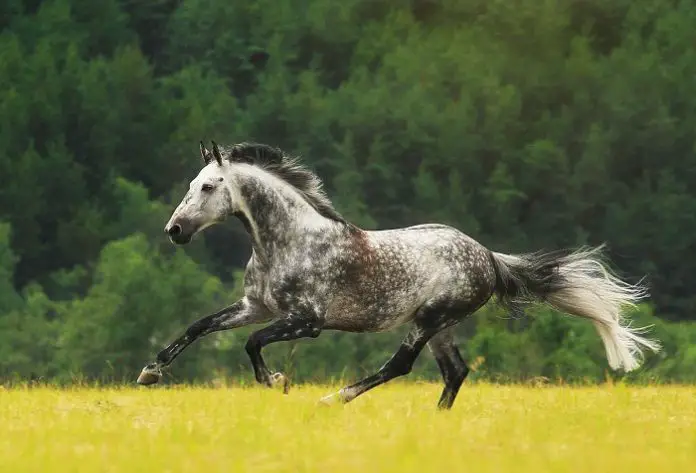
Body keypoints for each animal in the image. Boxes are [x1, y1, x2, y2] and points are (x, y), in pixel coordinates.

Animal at [137, 141, 661, 409]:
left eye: (209, 186)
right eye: (191, 184)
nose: (175, 231)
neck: (285, 241)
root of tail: (489, 256)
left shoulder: (306, 322)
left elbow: (251, 344)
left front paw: (277, 383)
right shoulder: (256, 307)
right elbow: (200, 327)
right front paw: (150, 373)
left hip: (429, 320)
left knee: (401, 365)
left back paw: (334, 399)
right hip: (443, 326)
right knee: (456, 372)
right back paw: (437, 420)